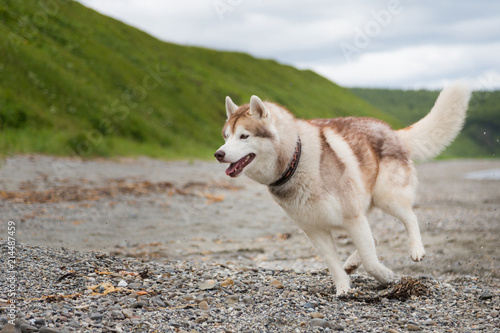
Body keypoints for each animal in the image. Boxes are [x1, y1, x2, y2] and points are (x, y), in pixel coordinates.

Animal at [214, 82, 468, 294]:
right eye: (226, 136)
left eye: (244, 136)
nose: (219, 154)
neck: (296, 162)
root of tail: (392, 131)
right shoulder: (314, 229)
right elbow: (333, 263)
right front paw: (343, 289)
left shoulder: (352, 217)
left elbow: (370, 260)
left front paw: (385, 276)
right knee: (375, 237)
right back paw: (353, 262)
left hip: (387, 197)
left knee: (410, 218)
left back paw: (416, 249)